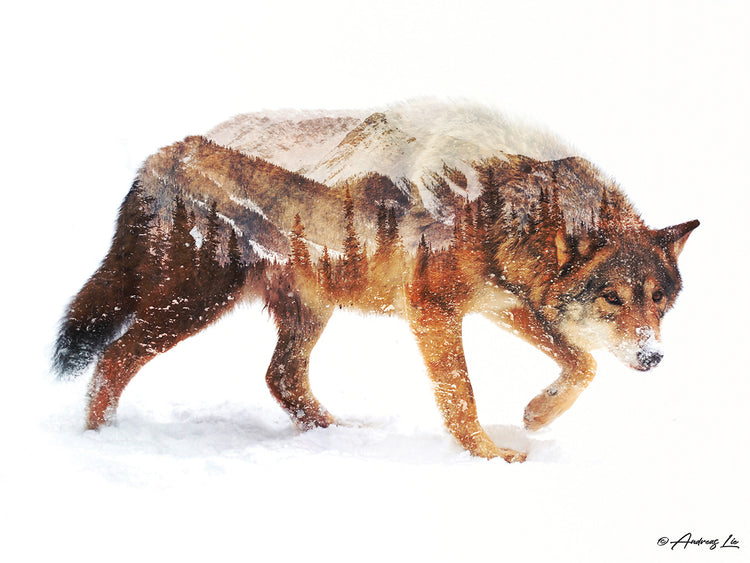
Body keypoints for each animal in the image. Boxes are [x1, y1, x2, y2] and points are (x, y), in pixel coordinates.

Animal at [54, 101, 698, 462]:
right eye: (612, 298)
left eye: (659, 303)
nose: (653, 357)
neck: (499, 202)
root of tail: (159, 158)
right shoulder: (434, 311)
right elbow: (461, 397)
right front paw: (490, 456)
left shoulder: (503, 304)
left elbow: (582, 364)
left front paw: (537, 415)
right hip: (192, 306)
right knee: (112, 358)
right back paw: (103, 441)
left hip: (307, 312)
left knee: (280, 378)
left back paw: (341, 434)